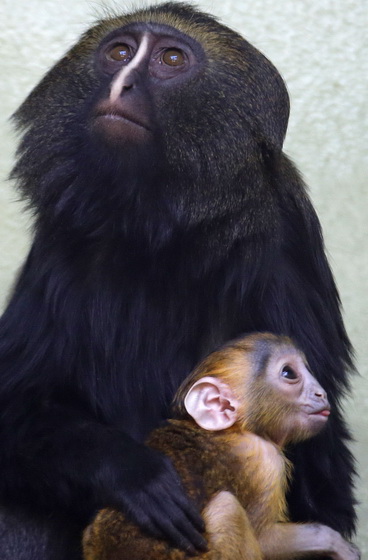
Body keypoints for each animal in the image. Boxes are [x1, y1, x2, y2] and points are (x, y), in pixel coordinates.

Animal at [84, 332, 360, 560]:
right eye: (289, 373)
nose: (320, 393)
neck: (235, 429)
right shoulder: (264, 460)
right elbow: (266, 540)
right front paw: (333, 542)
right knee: (228, 510)